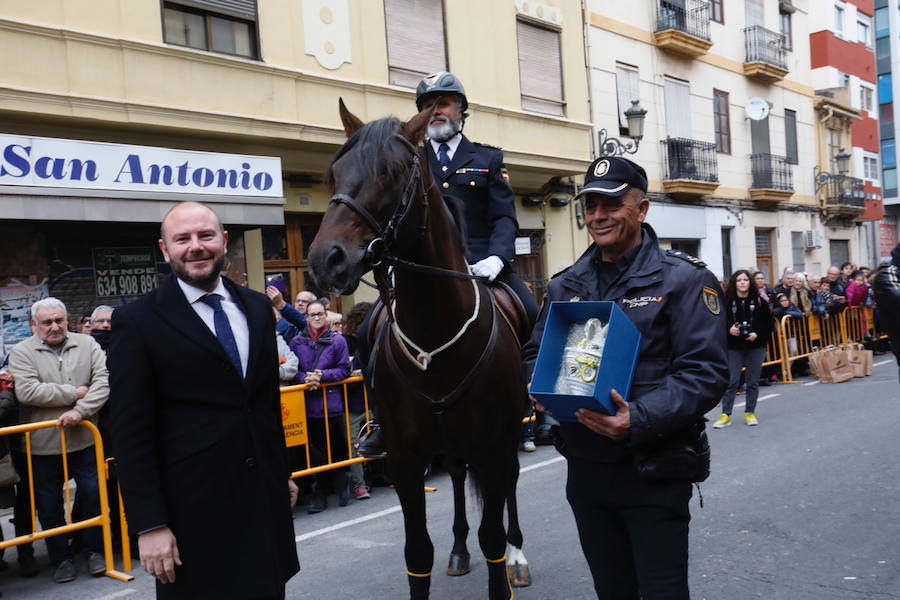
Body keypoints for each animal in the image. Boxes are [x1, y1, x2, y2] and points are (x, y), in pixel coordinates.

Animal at [310, 101, 532, 596]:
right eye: (334, 172)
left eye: (392, 171)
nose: (324, 259)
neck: (435, 335)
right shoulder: (406, 460)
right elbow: (418, 554)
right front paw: (449, 551)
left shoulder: (491, 446)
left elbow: (492, 536)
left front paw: (503, 560)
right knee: (457, 478)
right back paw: (459, 550)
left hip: (507, 437)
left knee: (509, 487)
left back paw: (518, 555)